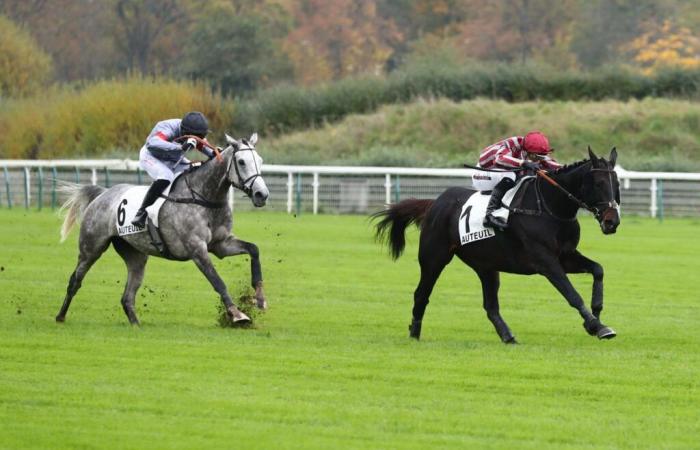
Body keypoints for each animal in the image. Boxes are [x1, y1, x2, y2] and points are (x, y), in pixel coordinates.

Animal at [57, 133, 270, 324]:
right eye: (241, 162)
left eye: (260, 160)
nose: (262, 194)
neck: (203, 197)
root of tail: (103, 194)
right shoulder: (197, 249)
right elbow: (217, 281)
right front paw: (237, 314)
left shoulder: (221, 245)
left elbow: (254, 249)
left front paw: (260, 298)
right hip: (91, 248)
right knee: (75, 280)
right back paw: (60, 316)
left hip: (136, 255)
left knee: (127, 297)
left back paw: (136, 325)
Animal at [374, 146, 620, 342]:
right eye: (598, 183)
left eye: (616, 183)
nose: (612, 221)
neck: (549, 207)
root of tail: (435, 203)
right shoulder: (545, 262)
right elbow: (572, 294)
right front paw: (597, 326)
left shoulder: (566, 256)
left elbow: (598, 269)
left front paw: (596, 313)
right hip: (434, 257)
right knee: (421, 294)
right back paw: (414, 334)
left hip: (486, 266)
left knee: (490, 306)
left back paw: (508, 336)